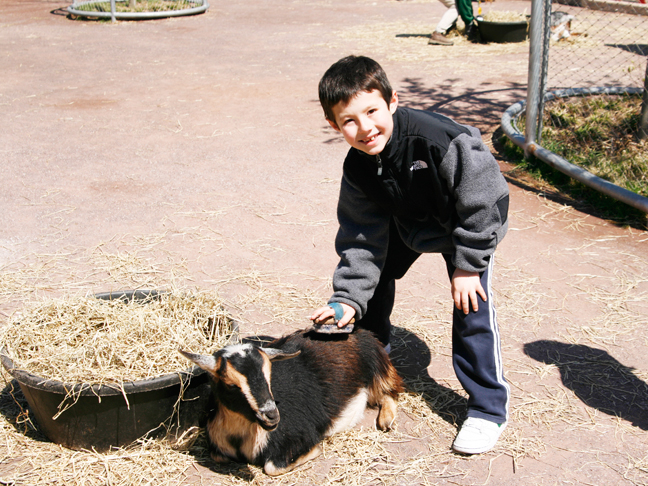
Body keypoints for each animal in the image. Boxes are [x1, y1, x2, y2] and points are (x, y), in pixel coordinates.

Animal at [180, 328, 402, 476]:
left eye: (269, 375)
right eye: (230, 385)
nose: (272, 416)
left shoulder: (300, 436)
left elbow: (272, 467)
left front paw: (314, 451)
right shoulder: (217, 449)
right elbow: (218, 456)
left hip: (377, 365)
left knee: (390, 391)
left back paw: (386, 420)